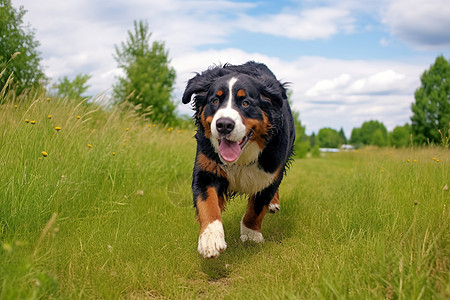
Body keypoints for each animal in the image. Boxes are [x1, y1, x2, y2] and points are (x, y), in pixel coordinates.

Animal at [183, 61, 296, 258]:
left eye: (245, 103)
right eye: (215, 101)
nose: (224, 125)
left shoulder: (270, 172)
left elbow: (256, 208)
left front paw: (251, 235)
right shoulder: (207, 169)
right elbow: (208, 204)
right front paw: (210, 238)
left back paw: (273, 204)